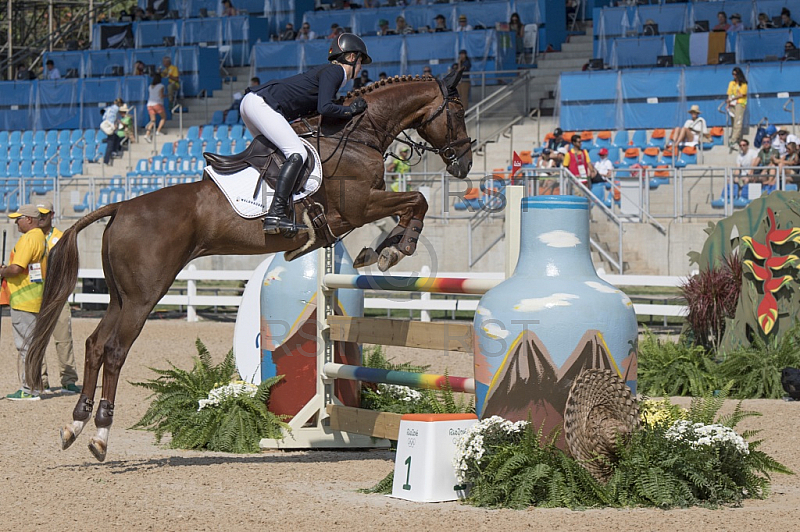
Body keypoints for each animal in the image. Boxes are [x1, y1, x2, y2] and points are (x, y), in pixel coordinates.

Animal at [25, 70, 472, 462]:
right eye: (457, 111)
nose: (464, 165)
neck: (357, 134)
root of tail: (120, 206)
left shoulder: (361, 209)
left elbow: (412, 204)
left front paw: (383, 250)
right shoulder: (359, 206)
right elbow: (417, 200)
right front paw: (396, 248)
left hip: (120, 295)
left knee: (95, 345)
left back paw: (75, 425)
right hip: (143, 296)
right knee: (115, 350)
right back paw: (100, 435)